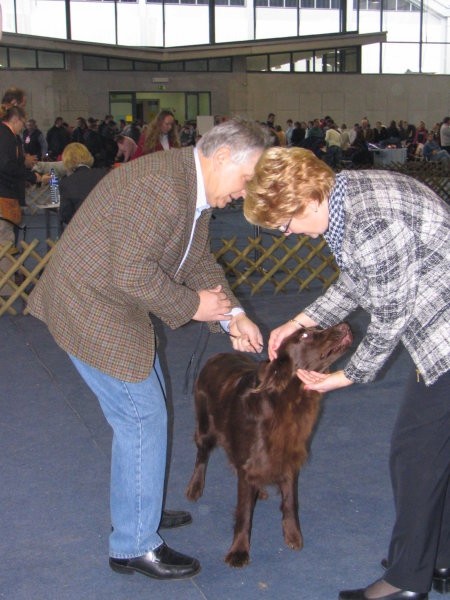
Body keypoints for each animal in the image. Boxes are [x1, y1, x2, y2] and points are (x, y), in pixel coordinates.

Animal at [185, 322, 354, 564]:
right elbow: (244, 512)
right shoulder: (251, 462)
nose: (345, 326)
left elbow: (290, 502)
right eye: (305, 335)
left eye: (318, 327)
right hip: (205, 426)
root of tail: (216, 356)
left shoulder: (288, 459)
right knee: (202, 455)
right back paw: (195, 487)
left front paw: (293, 535)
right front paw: (239, 550)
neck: (287, 401)